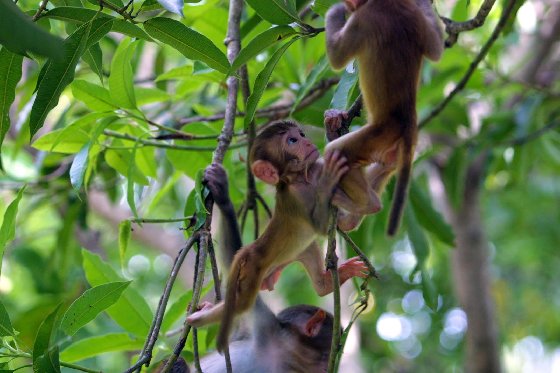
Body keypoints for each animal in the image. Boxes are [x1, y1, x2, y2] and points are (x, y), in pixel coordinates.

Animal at [188, 120, 370, 350]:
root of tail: (250, 250)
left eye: (301, 134)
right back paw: (200, 317)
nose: (307, 141)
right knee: (241, 304)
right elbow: (321, 225)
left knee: (311, 258)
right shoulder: (296, 199)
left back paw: (326, 283)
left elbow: (345, 223)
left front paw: (335, 126)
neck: (302, 179)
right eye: (292, 140)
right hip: (251, 270)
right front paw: (331, 175)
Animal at [324, 0, 442, 234]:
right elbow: (436, 49)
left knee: (337, 152)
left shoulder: (363, 20)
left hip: (379, 135)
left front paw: (336, 10)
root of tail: (408, 124)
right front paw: (424, 3)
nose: (349, 6)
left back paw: (368, 204)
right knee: (386, 165)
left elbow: (337, 56)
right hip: (391, 149)